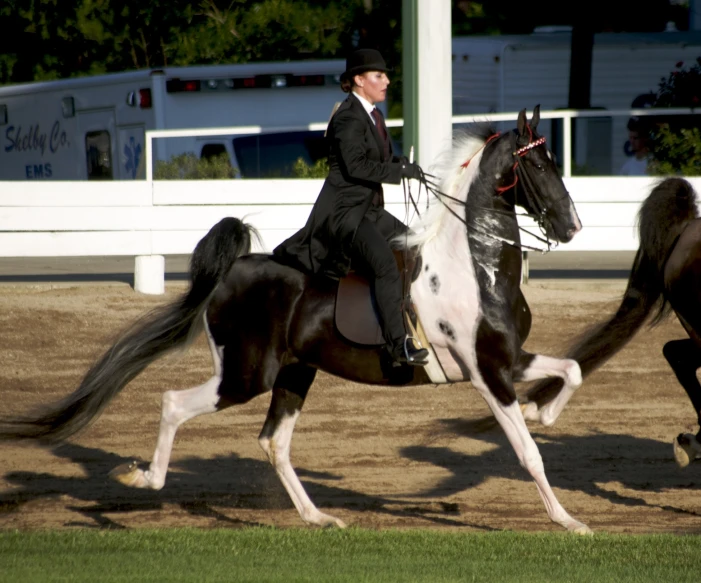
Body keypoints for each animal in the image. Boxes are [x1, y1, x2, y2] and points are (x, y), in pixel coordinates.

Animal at [1, 107, 592, 536]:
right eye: (538, 165)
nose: (572, 226)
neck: (473, 266)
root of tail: (235, 270)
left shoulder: (508, 359)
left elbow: (572, 370)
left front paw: (544, 412)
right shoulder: (488, 373)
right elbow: (529, 454)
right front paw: (569, 521)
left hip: (293, 372)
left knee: (274, 443)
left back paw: (318, 517)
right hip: (246, 375)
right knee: (175, 404)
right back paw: (143, 478)